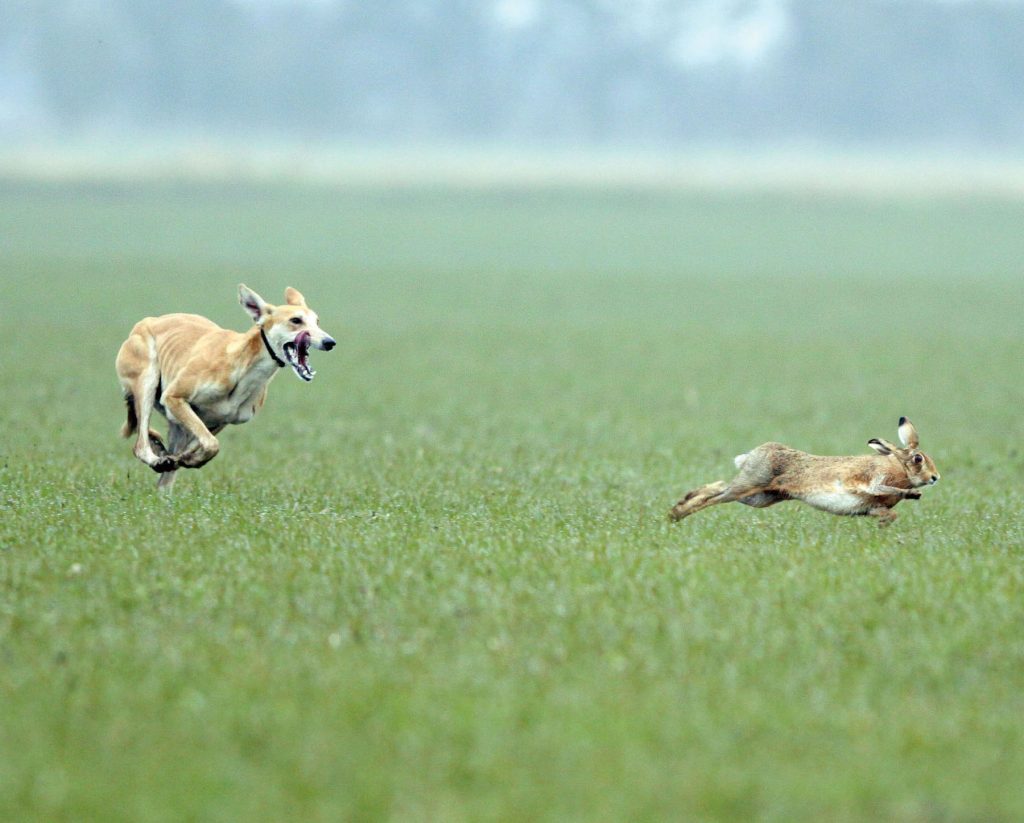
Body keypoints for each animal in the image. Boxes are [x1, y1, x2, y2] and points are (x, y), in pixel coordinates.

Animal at [669, 417, 939, 527]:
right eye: (918, 459)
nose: (935, 478)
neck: (898, 466)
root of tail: (751, 454)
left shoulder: (872, 506)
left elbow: (888, 513)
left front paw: (884, 524)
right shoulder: (872, 481)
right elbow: (884, 487)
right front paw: (913, 495)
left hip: (761, 497)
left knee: (717, 490)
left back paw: (678, 507)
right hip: (750, 484)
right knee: (713, 498)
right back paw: (677, 514)